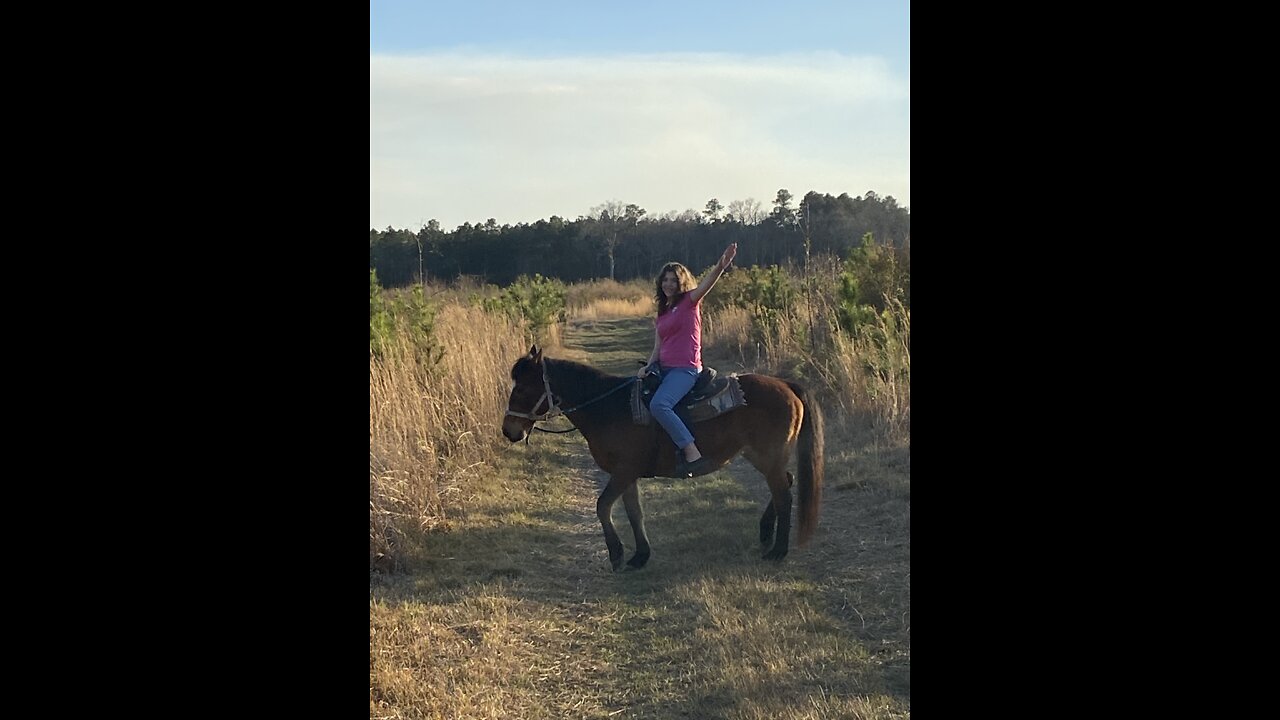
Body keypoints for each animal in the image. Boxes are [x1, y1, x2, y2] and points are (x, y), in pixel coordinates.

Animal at [499, 345, 829, 568]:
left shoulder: (623, 471)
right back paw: (765, 533)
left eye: (524, 388)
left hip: (768, 456)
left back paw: (778, 550)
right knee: (786, 481)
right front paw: (640, 556)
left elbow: (602, 506)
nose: (509, 430)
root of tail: (786, 385)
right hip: (761, 456)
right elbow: (634, 512)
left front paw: (617, 554)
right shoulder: (627, 475)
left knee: (784, 494)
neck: (610, 407)